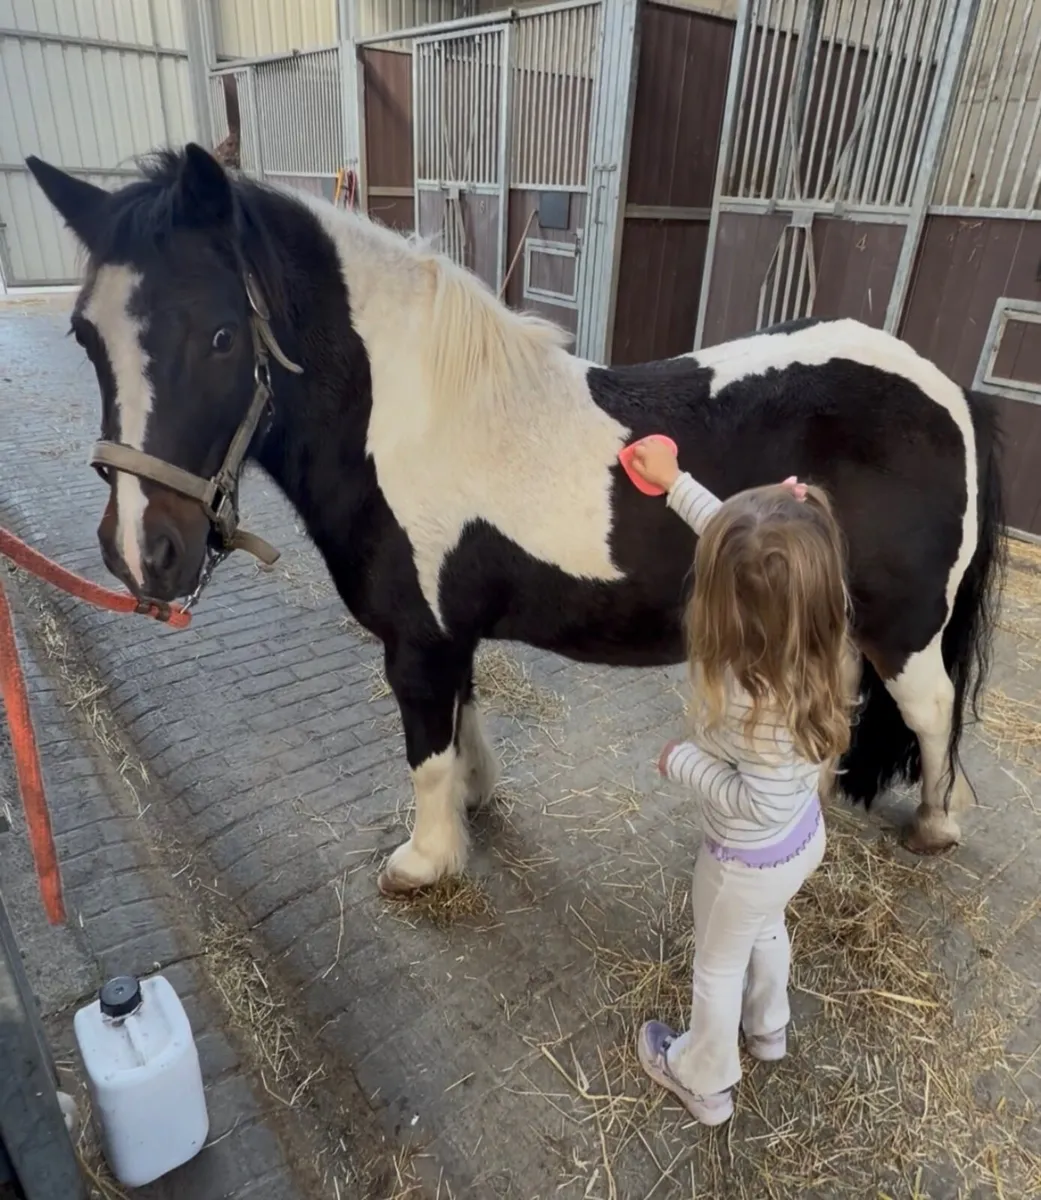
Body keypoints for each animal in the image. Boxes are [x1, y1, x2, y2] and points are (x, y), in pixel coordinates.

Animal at [25, 144, 1004, 897]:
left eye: (223, 336)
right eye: (84, 335)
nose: (142, 552)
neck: (408, 418)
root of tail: (949, 390)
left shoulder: (417, 644)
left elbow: (426, 749)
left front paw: (424, 861)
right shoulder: (447, 637)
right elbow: (463, 728)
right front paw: (473, 807)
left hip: (903, 629)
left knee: (930, 712)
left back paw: (933, 826)